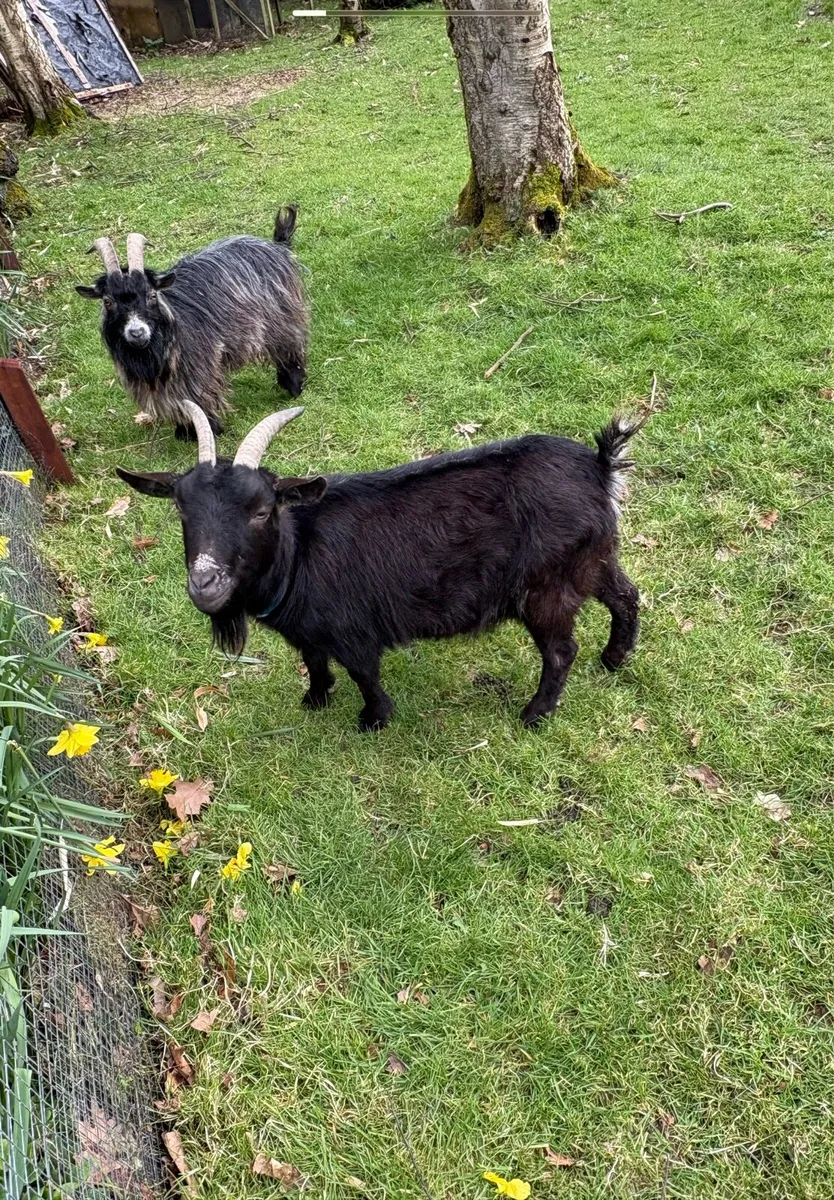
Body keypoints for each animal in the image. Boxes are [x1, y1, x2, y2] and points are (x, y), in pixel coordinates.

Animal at [76, 208, 308, 442]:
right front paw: (183, 432)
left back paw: (294, 387)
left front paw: (209, 429)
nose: (137, 332)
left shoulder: (200, 368)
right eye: (108, 301)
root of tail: (278, 246)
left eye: (152, 295)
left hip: (282, 320)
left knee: (290, 349)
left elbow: (200, 397)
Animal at [117, 403, 643, 731]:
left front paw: (373, 720)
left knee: (561, 651)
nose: (205, 582)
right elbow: (314, 660)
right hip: (593, 559)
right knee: (627, 595)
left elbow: (363, 675)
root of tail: (601, 468)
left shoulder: (354, 632)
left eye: (262, 511)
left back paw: (535, 714)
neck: (298, 553)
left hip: (547, 588)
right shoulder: (309, 632)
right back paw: (615, 659)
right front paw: (315, 700)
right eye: (181, 507)